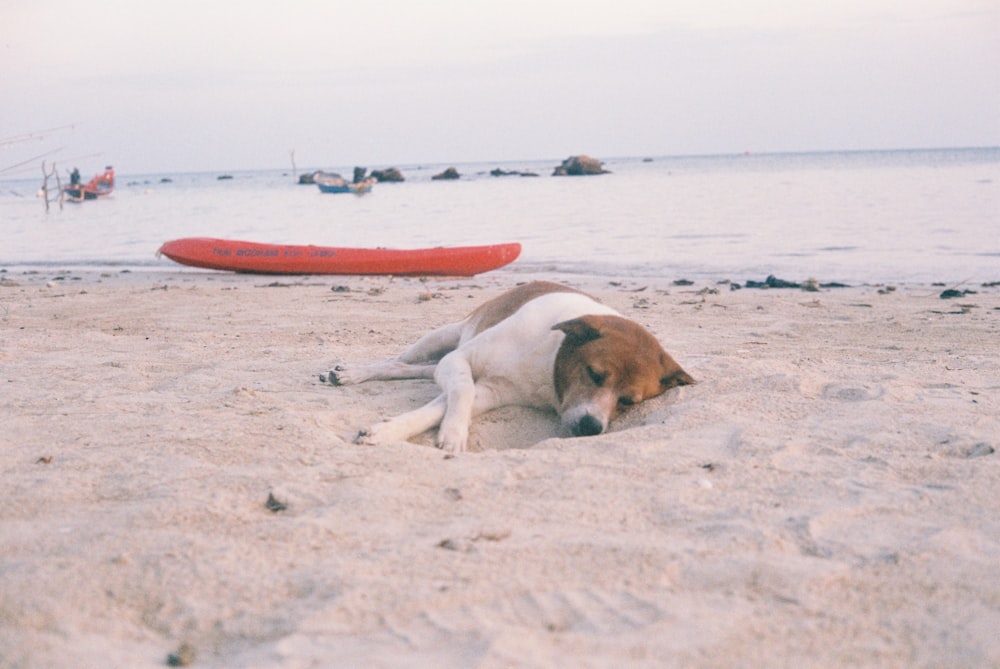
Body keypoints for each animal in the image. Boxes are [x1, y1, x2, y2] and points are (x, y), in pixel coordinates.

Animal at [328, 280, 696, 452]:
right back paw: (352, 373)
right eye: (594, 374)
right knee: (396, 361)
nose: (591, 427)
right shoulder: (459, 361)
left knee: (414, 371)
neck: (548, 361)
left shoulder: (490, 391)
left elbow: (441, 406)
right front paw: (453, 433)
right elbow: (461, 391)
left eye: (628, 402)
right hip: (441, 338)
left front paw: (389, 430)